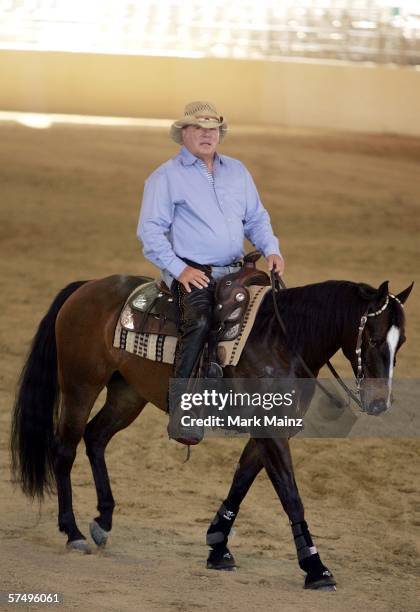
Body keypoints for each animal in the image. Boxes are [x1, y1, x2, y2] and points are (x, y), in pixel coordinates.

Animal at [10, 274, 414, 592]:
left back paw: (103, 522)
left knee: (95, 438)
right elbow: (291, 496)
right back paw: (74, 533)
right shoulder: (271, 432)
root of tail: (85, 287)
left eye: (403, 341)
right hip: (80, 385)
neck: (283, 342)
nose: (380, 403)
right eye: (373, 337)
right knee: (65, 449)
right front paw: (316, 568)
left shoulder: (271, 430)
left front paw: (218, 546)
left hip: (127, 393)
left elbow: (241, 481)